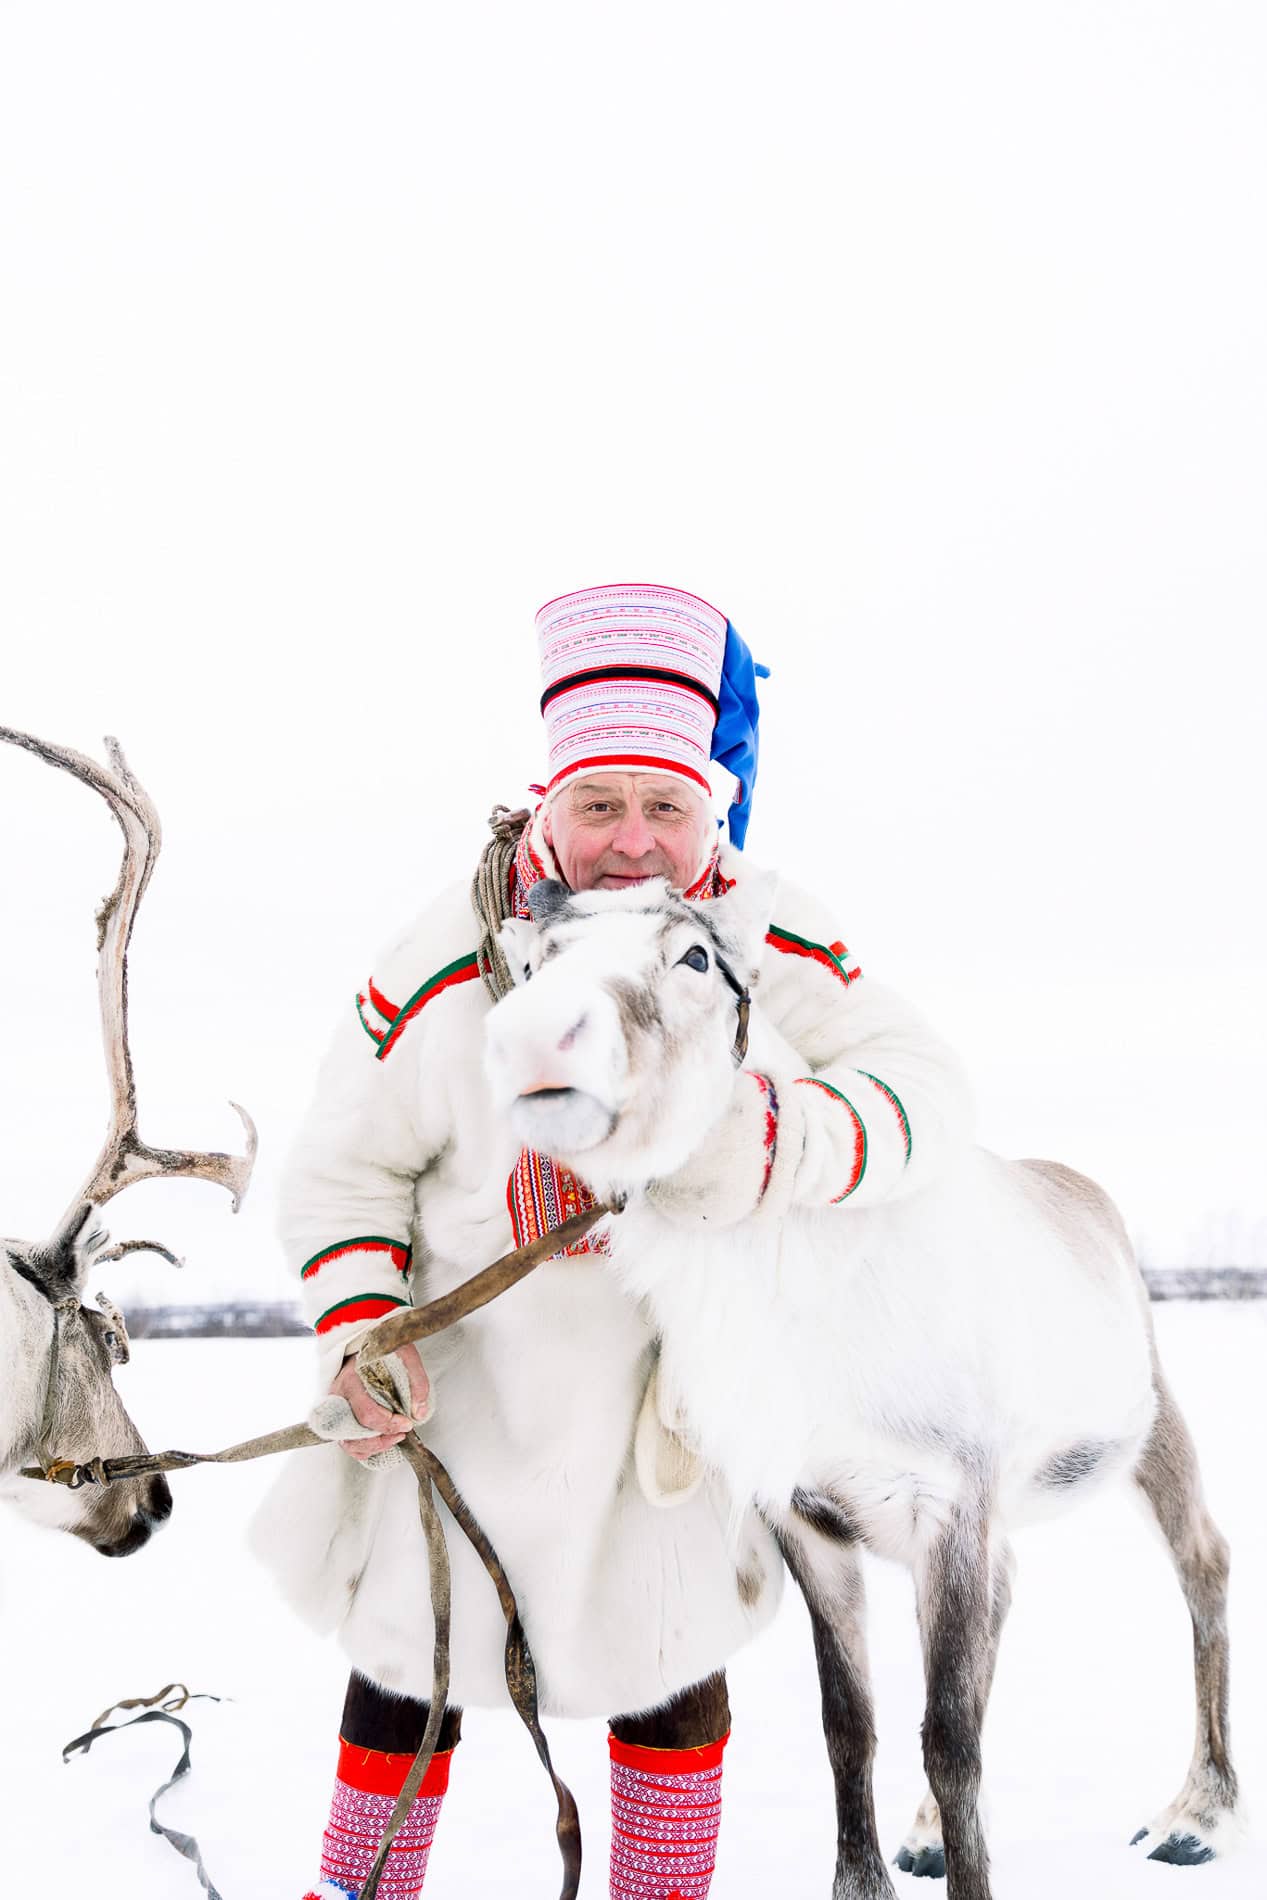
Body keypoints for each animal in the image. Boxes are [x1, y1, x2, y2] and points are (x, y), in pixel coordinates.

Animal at [483, 873, 1240, 1900]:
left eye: (695, 956)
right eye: (540, 960)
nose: (533, 1039)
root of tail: (1085, 1192)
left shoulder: (949, 1503)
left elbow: (949, 1739)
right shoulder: (808, 1520)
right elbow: (852, 1724)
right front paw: (869, 1874)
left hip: (1152, 1434)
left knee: (1203, 1566)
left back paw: (1195, 1816)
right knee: (1008, 1597)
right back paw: (926, 1837)